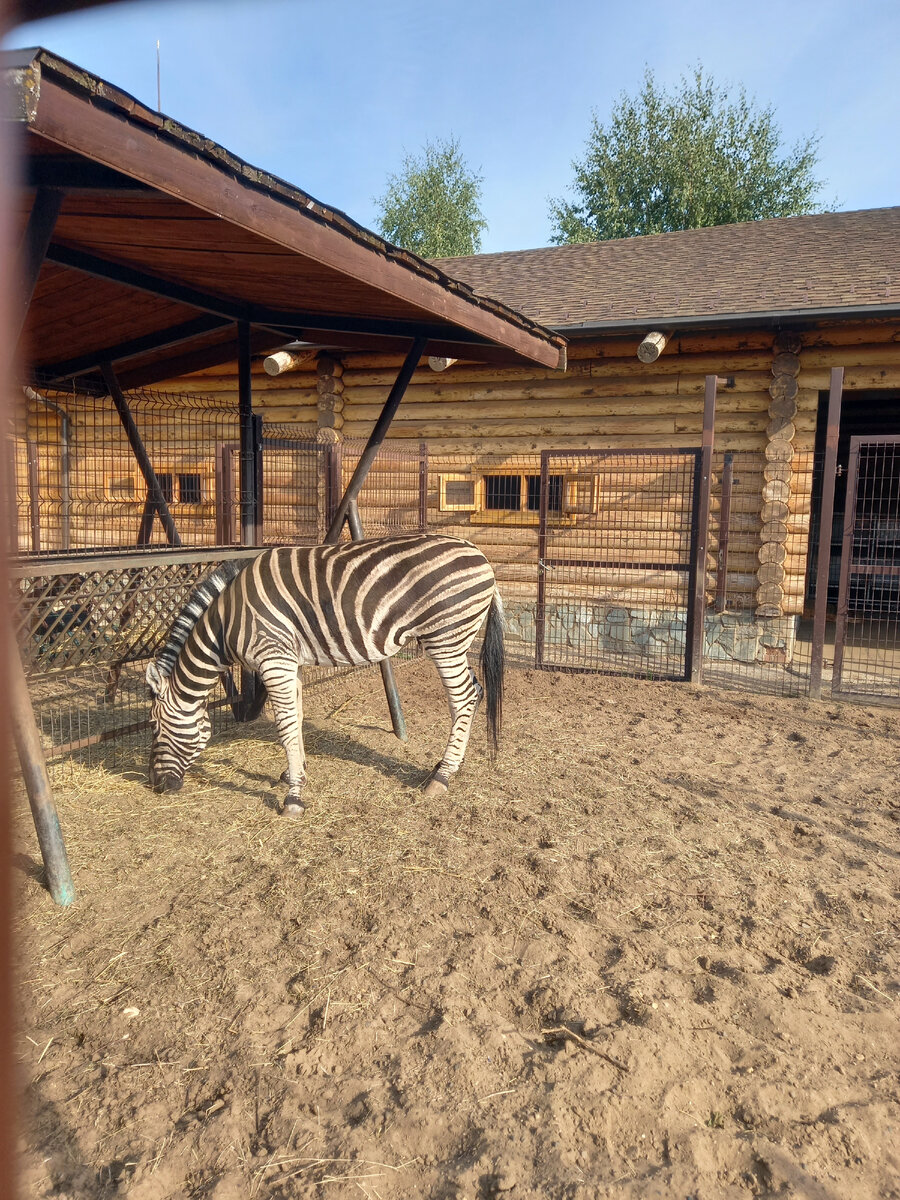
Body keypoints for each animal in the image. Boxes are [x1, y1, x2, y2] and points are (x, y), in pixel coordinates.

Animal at [144, 535, 504, 816]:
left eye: (156, 728)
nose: (156, 786)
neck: (228, 622)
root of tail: (480, 555)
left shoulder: (274, 659)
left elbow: (286, 725)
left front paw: (293, 799)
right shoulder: (290, 662)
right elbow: (298, 718)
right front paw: (295, 773)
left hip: (446, 638)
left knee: (463, 698)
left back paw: (441, 778)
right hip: (455, 642)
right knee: (475, 691)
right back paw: (446, 767)